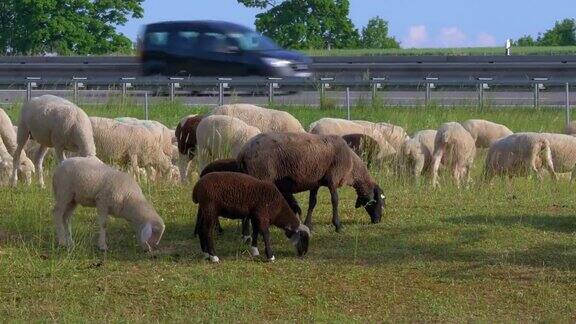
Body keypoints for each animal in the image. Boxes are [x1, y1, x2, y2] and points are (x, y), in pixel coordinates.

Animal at [238, 132, 388, 233]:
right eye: (380, 201)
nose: (378, 221)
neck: (352, 166)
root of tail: (243, 152)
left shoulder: (315, 182)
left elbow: (312, 202)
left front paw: (308, 224)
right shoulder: (333, 178)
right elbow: (335, 200)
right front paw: (338, 225)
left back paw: (245, 232)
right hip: (261, 175)